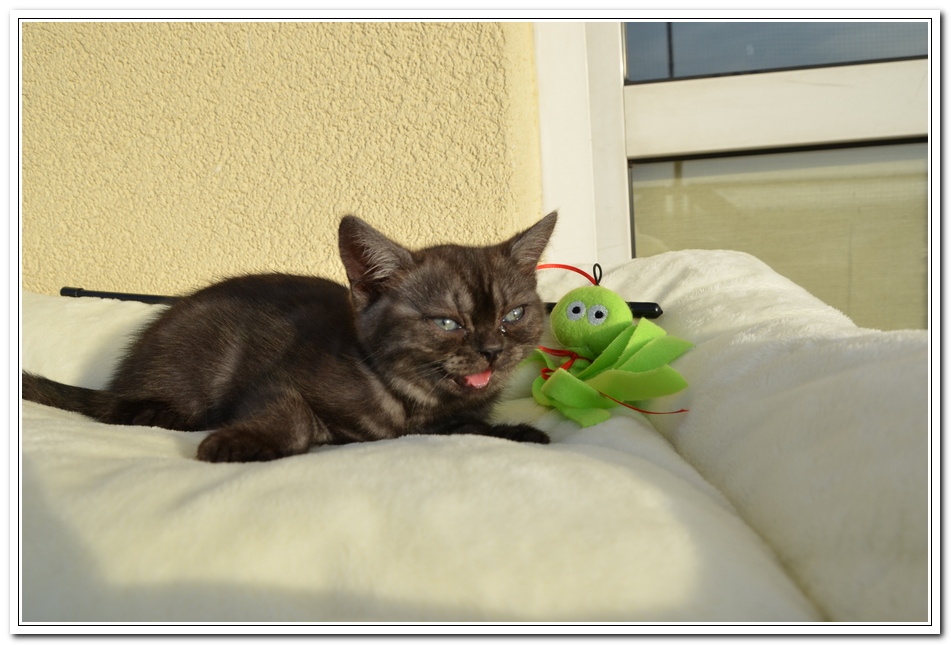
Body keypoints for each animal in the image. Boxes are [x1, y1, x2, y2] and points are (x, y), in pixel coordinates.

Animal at [23, 213, 557, 463]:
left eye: (514, 314)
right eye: (449, 323)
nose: (493, 350)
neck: (410, 399)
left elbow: (466, 426)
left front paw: (519, 433)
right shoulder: (274, 378)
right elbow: (292, 415)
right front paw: (239, 441)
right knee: (125, 410)